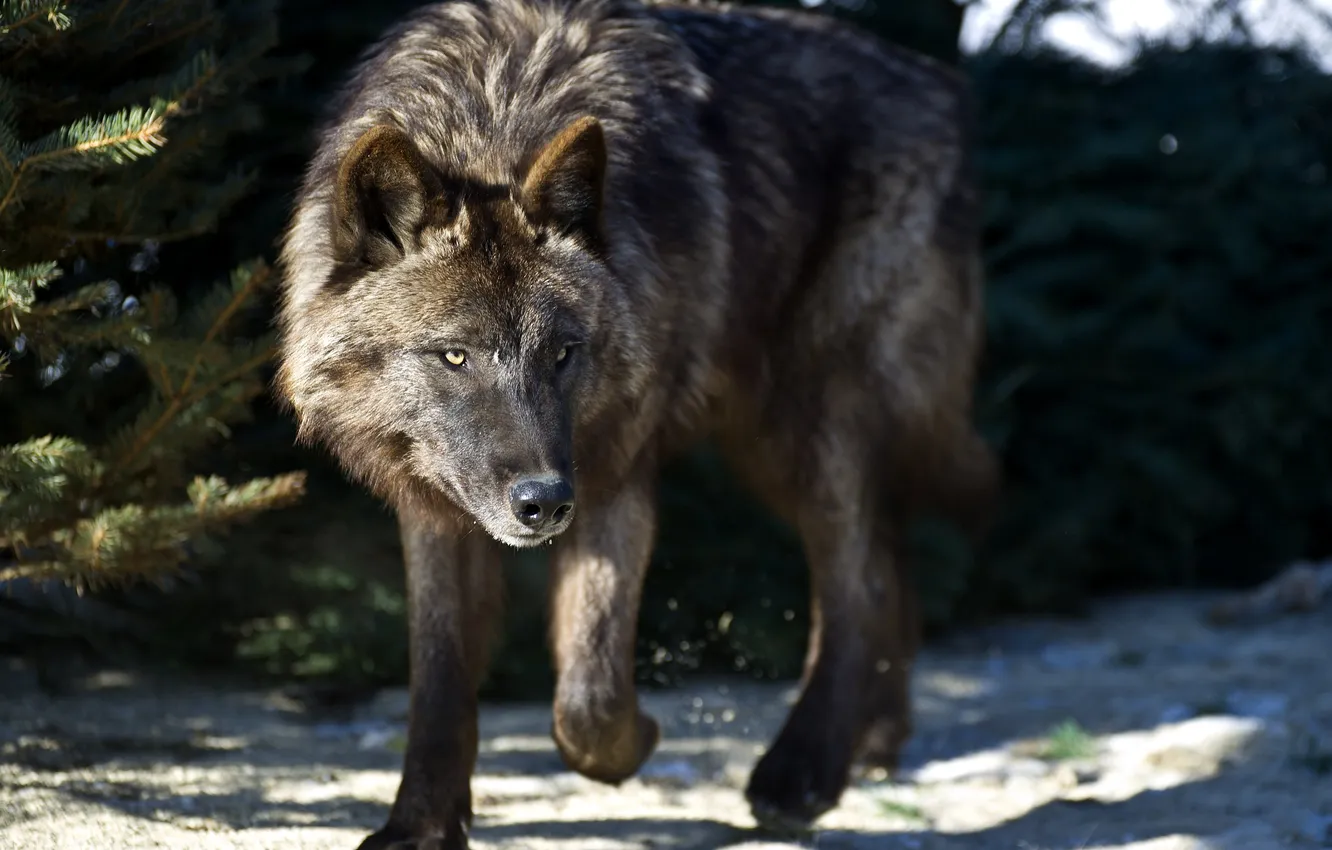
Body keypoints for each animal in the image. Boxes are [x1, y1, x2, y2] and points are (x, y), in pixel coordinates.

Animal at [274, 0, 998, 846]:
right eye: (454, 355)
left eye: (562, 352)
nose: (543, 503)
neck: (493, 120)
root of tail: (941, 83)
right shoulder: (438, 508)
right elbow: (440, 677)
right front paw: (418, 826)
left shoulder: (614, 471)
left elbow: (587, 698)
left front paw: (635, 743)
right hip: (769, 447)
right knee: (888, 556)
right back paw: (871, 742)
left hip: (816, 423)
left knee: (859, 582)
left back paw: (803, 773)